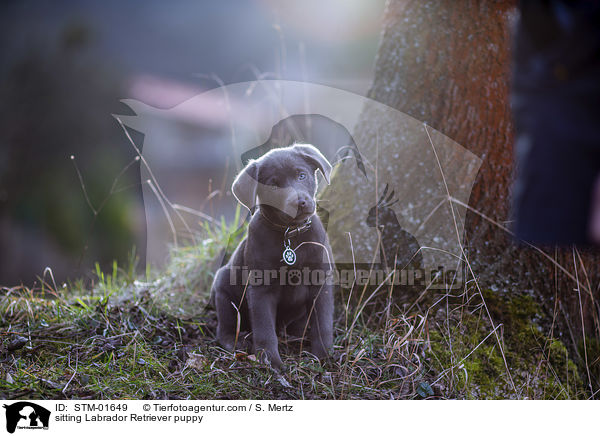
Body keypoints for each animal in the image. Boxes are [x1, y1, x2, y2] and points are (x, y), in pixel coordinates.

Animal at [210, 143, 332, 368]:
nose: (299, 202)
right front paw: (270, 361)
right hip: (224, 290)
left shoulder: (320, 280)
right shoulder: (261, 289)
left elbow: (323, 322)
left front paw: (323, 356)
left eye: (301, 175)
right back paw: (235, 342)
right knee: (225, 326)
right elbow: (264, 328)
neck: (290, 234)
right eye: (273, 186)